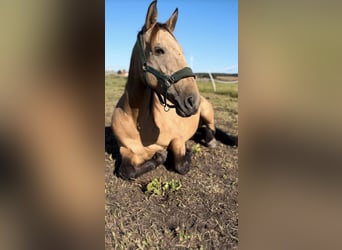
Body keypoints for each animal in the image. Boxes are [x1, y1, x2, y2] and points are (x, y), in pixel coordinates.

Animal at [111, 0, 215, 180]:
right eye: (159, 50)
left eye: (181, 51)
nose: (192, 100)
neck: (136, 121)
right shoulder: (126, 150)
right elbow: (126, 171)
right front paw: (158, 157)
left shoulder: (177, 139)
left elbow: (181, 165)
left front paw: (186, 151)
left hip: (207, 112)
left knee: (211, 128)